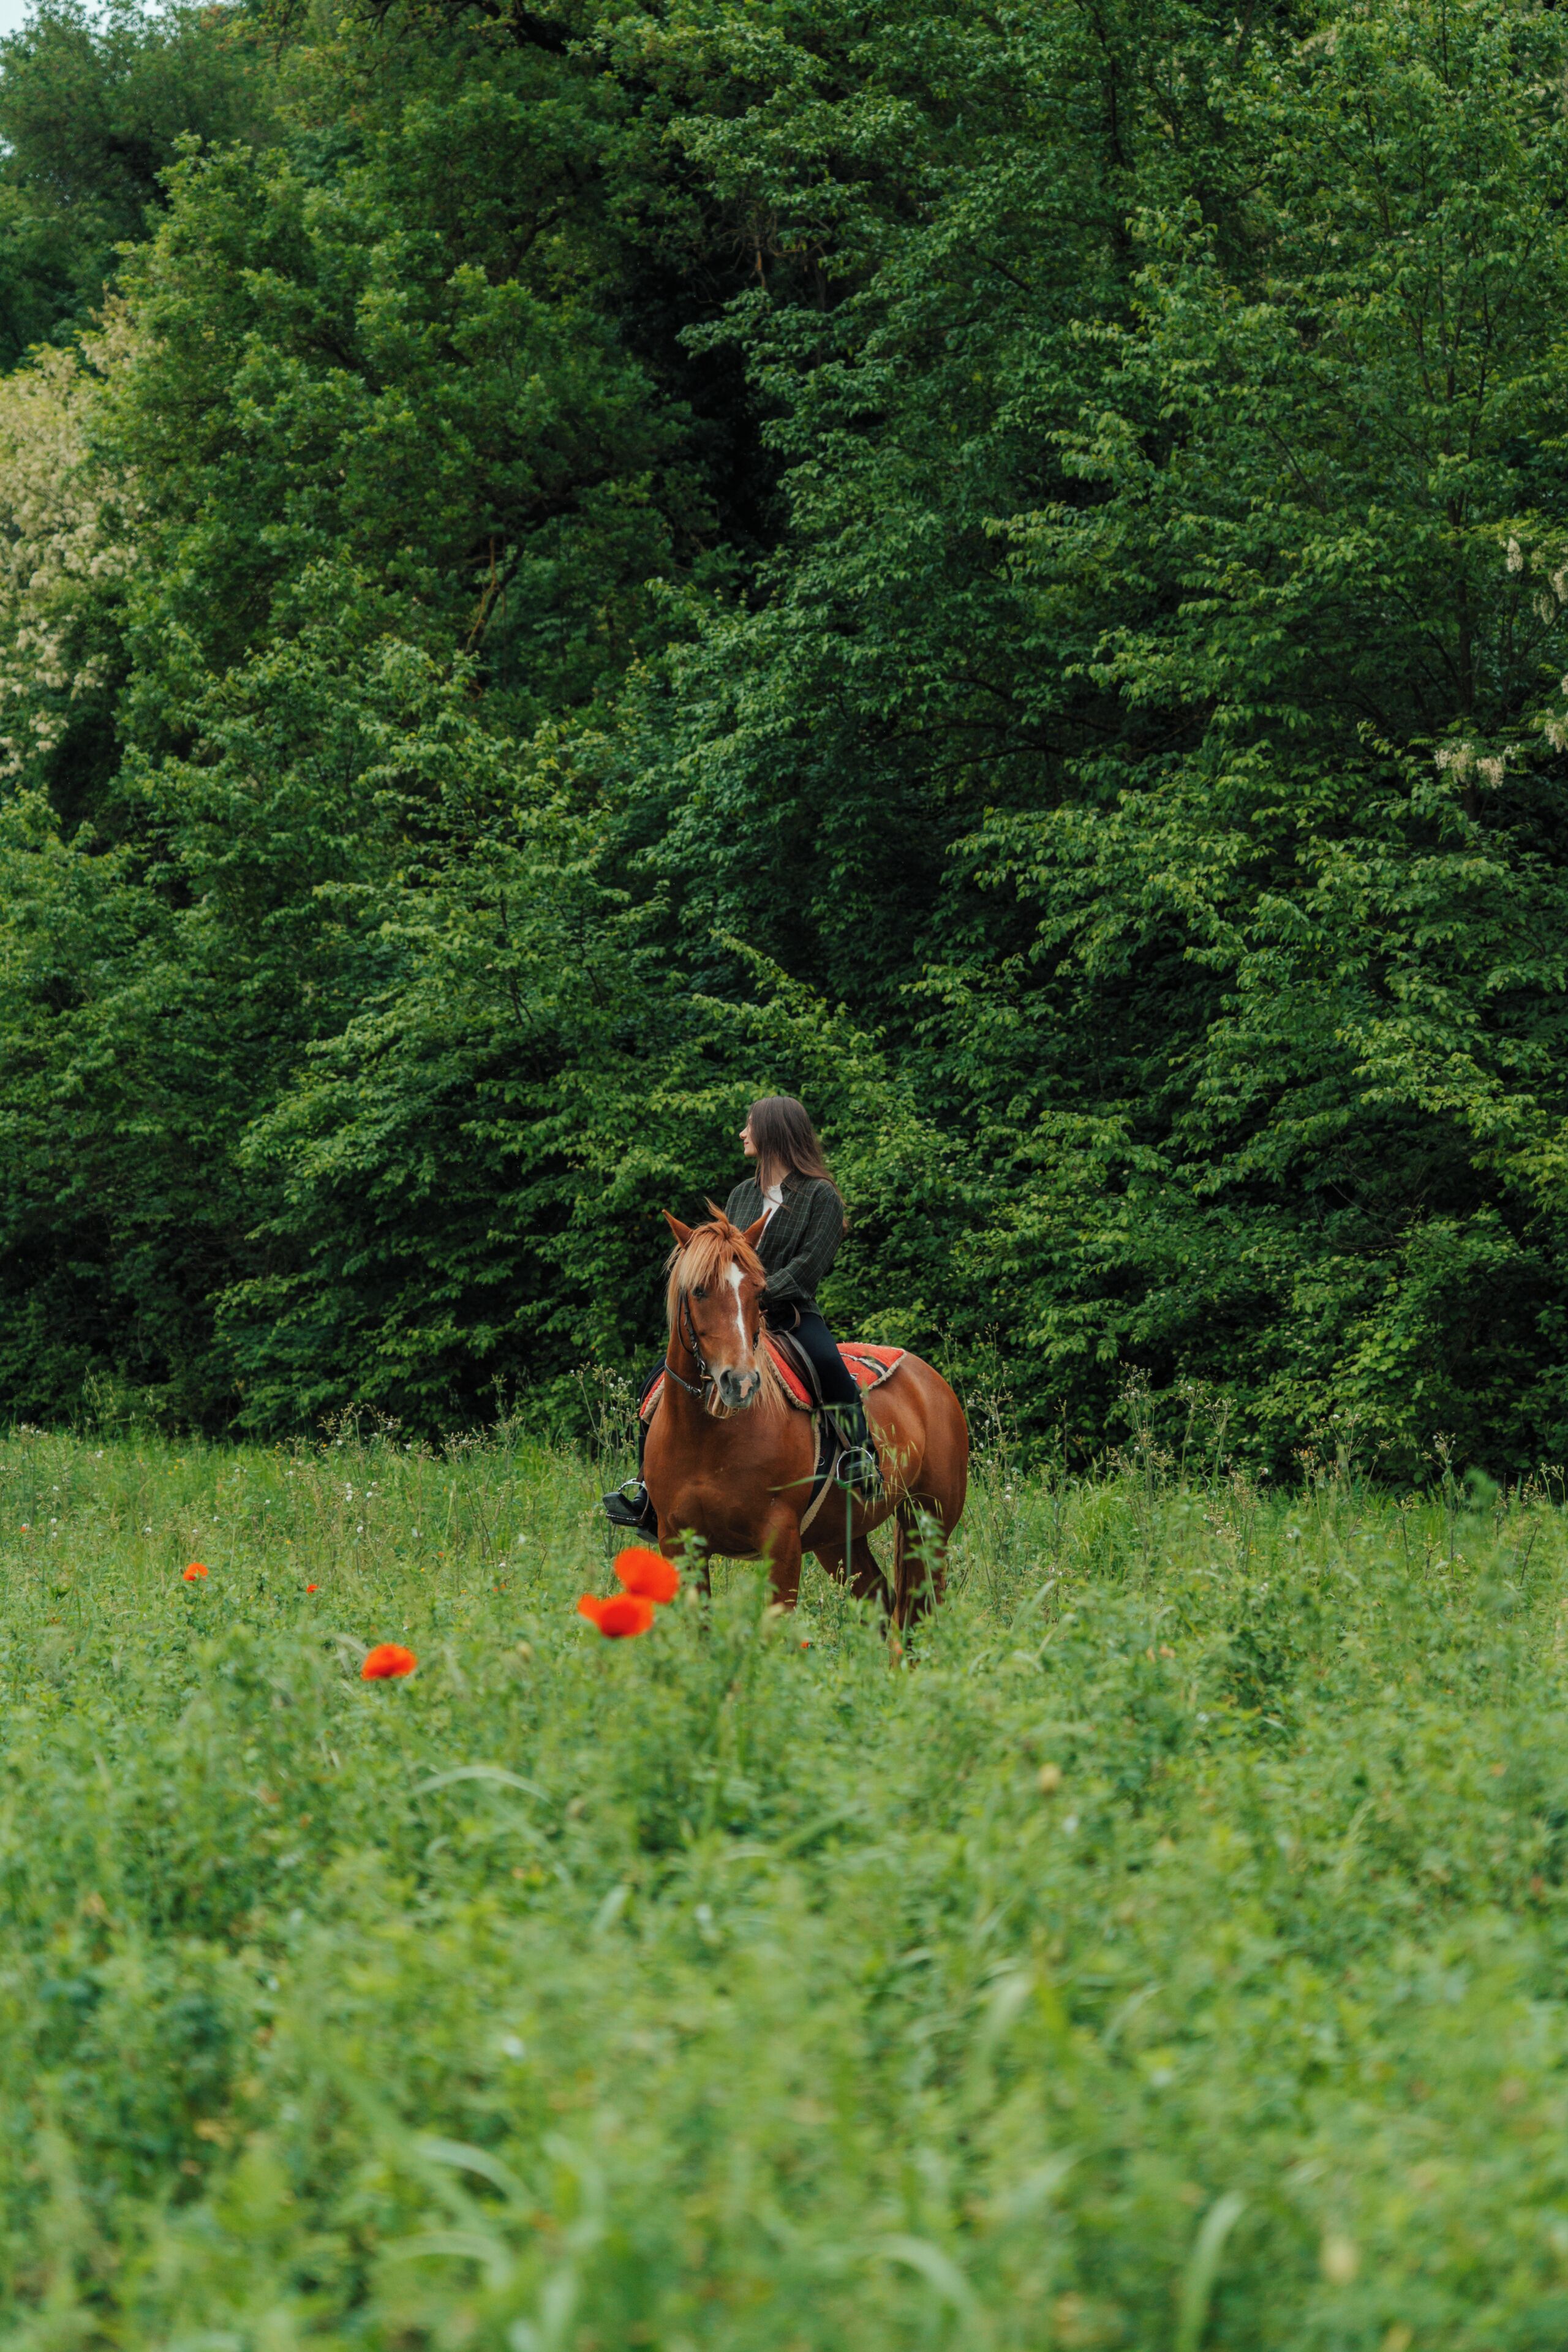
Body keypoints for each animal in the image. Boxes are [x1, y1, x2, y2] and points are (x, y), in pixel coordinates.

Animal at [641, 1208, 969, 1625]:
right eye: (699, 1291)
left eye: (759, 1292)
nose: (741, 1383)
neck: (706, 1441)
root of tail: (931, 1381)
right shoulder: (678, 1543)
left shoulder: (780, 1543)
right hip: (840, 1539)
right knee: (881, 1599)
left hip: (929, 1524)